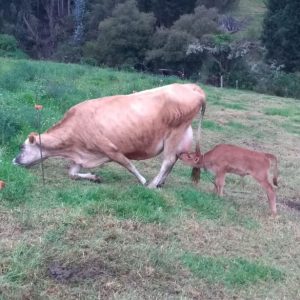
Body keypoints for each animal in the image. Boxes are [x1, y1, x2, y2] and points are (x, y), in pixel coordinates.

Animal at [13, 83, 206, 188]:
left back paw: (152, 184)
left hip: (175, 133)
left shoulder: (110, 148)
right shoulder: (81, 155)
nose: (13, 161)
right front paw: (94, 177)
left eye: (22, 147)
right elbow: (72, 173)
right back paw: (160, 183)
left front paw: (143, 181)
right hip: (182, 136)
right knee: (173, 160)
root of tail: (191, 87)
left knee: (167, 161)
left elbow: (128, 164)